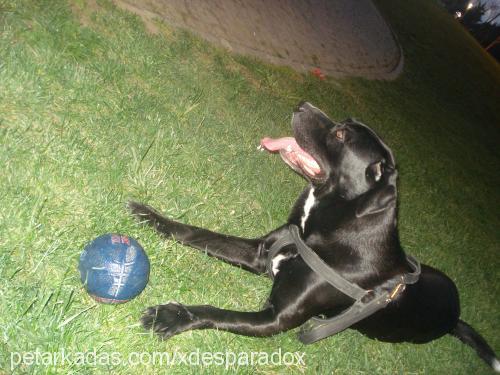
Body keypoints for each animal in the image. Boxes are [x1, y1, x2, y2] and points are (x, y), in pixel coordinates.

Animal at [128, 101, 496, 372]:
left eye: (341, 134)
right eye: (345, 122)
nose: (302, 104)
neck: (324, 230)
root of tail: (457, 315)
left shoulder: (274, 319)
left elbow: (217, 313)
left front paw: (174, 316)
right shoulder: (260, 251)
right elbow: (198, 233)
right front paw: (153, 217)